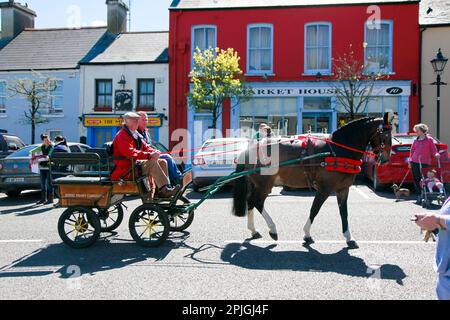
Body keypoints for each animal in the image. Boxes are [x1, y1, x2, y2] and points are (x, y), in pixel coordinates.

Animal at [234, 114, 392, 249]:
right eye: (384, 135)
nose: (385, 159)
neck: (337, 150)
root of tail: (250, 149)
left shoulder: (343, 189)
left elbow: (344, 213)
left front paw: (349, 238)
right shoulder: (324, 189)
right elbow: (314, 209)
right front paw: (307, 234)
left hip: (258, 185)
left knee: (250, 201)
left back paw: (253, 230)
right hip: (265, 185)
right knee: (257, 202)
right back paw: (273, 229)